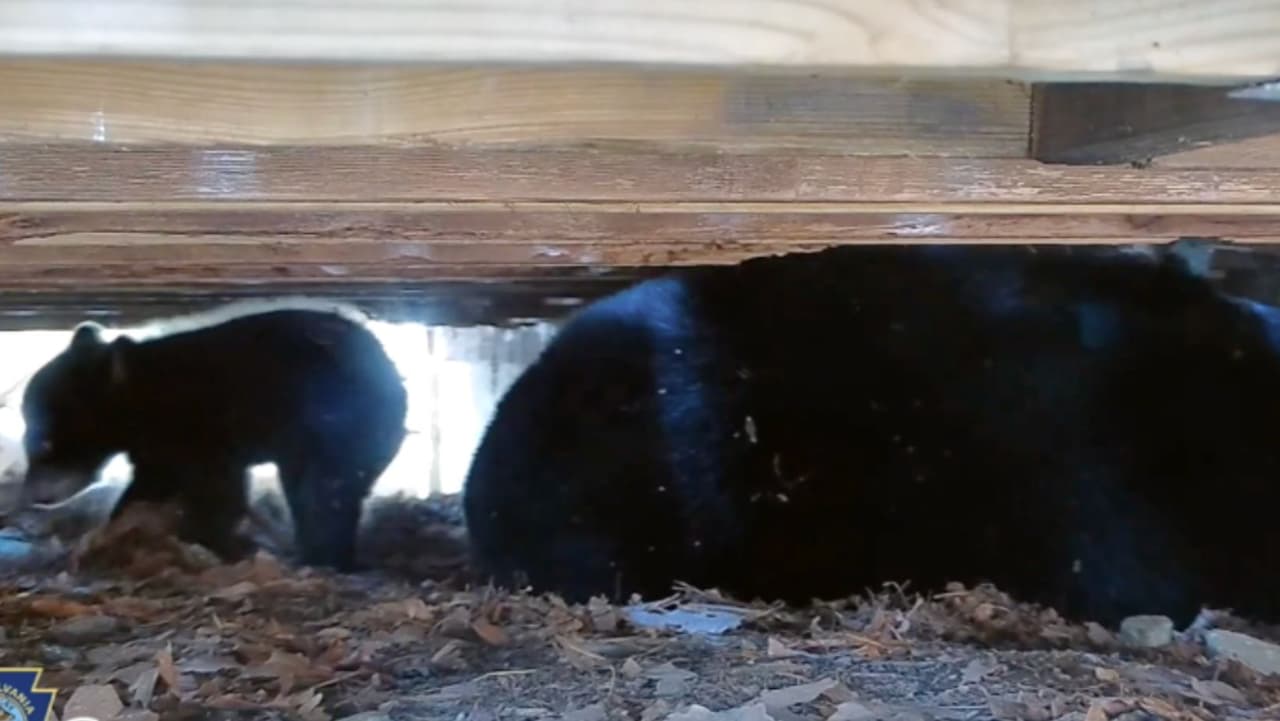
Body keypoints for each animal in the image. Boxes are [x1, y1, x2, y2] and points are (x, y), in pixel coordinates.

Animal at [19, 298, 408, 570]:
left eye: (44, 441)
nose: (34, 495)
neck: (144, 395)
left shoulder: (202, 428)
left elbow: (214, 489)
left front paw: (212, 541)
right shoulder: (160, 445)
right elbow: (154, 484)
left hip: (337, 426)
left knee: (326, 491)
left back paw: (321, 555)